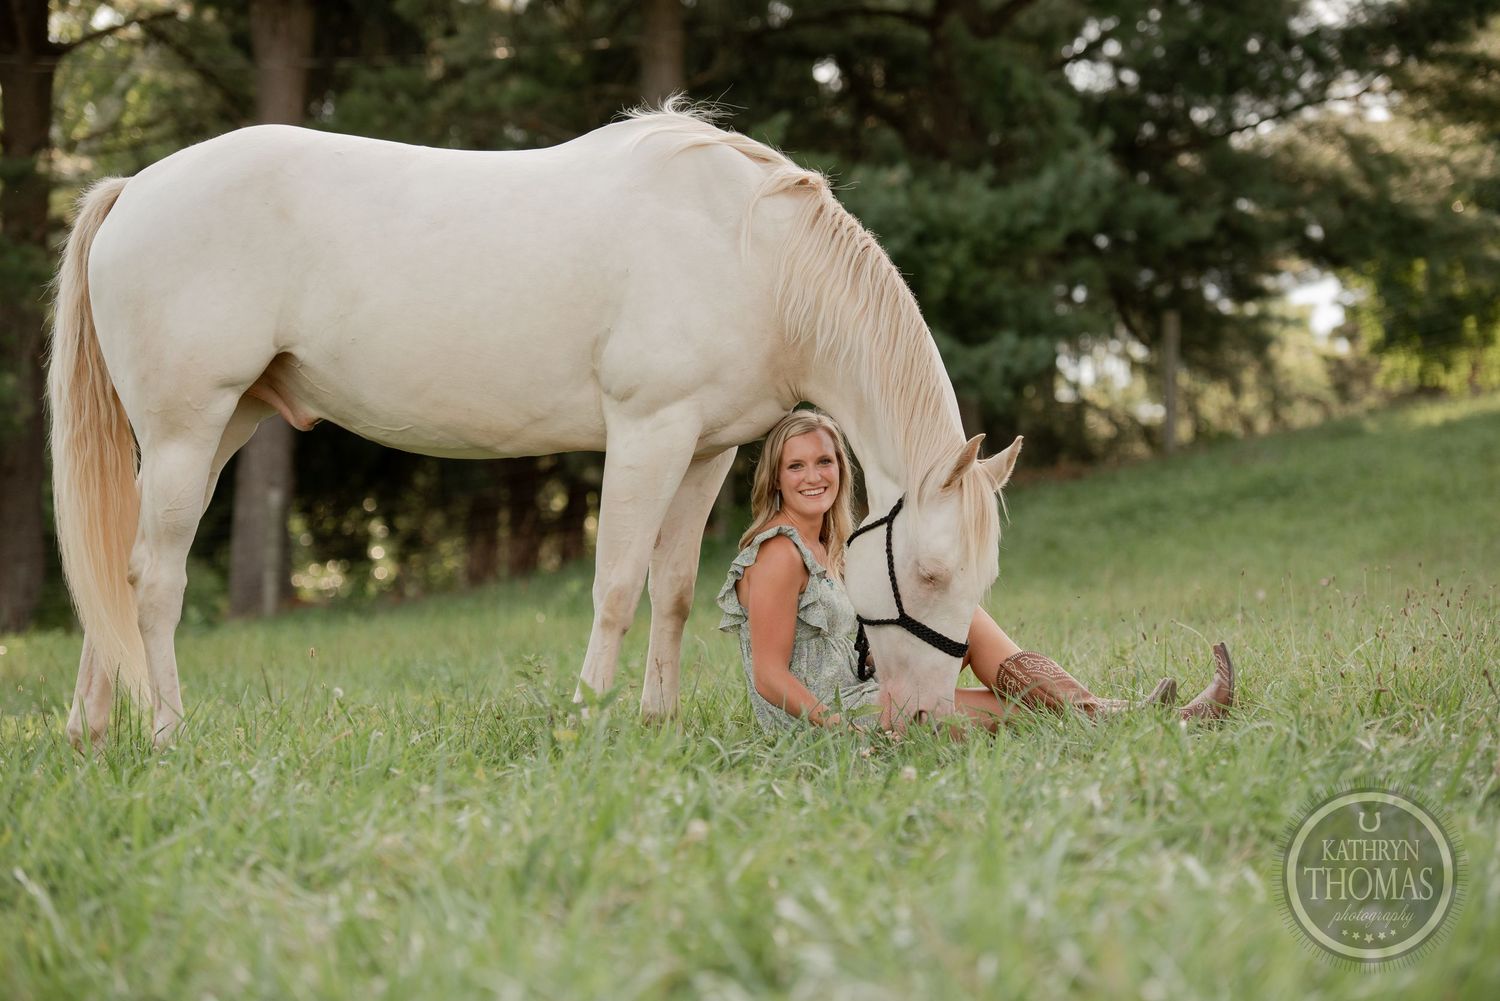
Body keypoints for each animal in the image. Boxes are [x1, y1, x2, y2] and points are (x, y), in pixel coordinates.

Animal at [49, 103, 1022, 748]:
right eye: (929, 573)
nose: (924, 716)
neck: (747, 249)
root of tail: (135, 188)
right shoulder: (647, 433)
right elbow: (618, 585)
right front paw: (586, 724)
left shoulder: (705, 450)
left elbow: (672, 590)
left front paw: (656, 721)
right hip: (188, 430)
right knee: (154, 579)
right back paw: (167, 729)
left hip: (218, 429)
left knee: (118, 567)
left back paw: (92, 731)